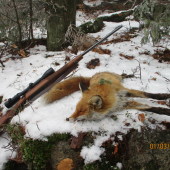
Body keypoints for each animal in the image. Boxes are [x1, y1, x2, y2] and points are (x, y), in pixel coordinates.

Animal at [40, 71, 170, 122]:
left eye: (81, 111)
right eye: (75, 110)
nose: (67, 119)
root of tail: (93, 75)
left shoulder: (125, 92)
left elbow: (149, 94)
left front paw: (164, 96)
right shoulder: (124, 104)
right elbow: (151, 108)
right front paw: (165, 111)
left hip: (118, 77)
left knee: (122, 75)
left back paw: (131, 75)